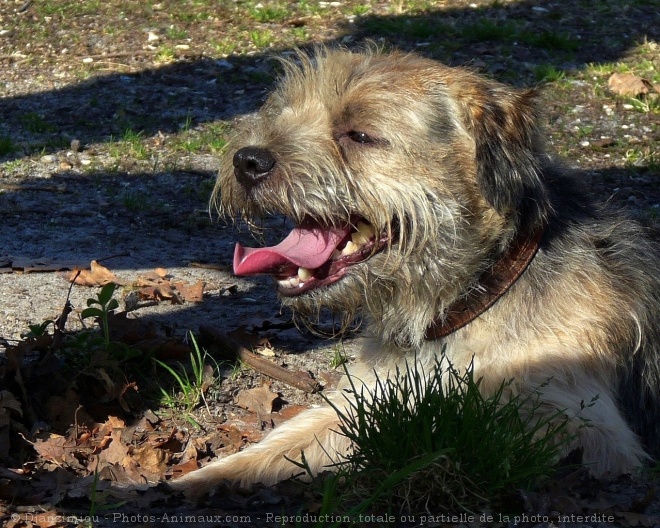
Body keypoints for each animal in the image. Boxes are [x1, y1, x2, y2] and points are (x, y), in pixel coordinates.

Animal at [170, 46, 660, 500]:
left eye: (360, 135)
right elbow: (291, 437)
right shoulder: (370, 394)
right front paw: (188, 482)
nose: (247, 160)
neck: (475, 292)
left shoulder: (587, 429)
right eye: (283, 114)